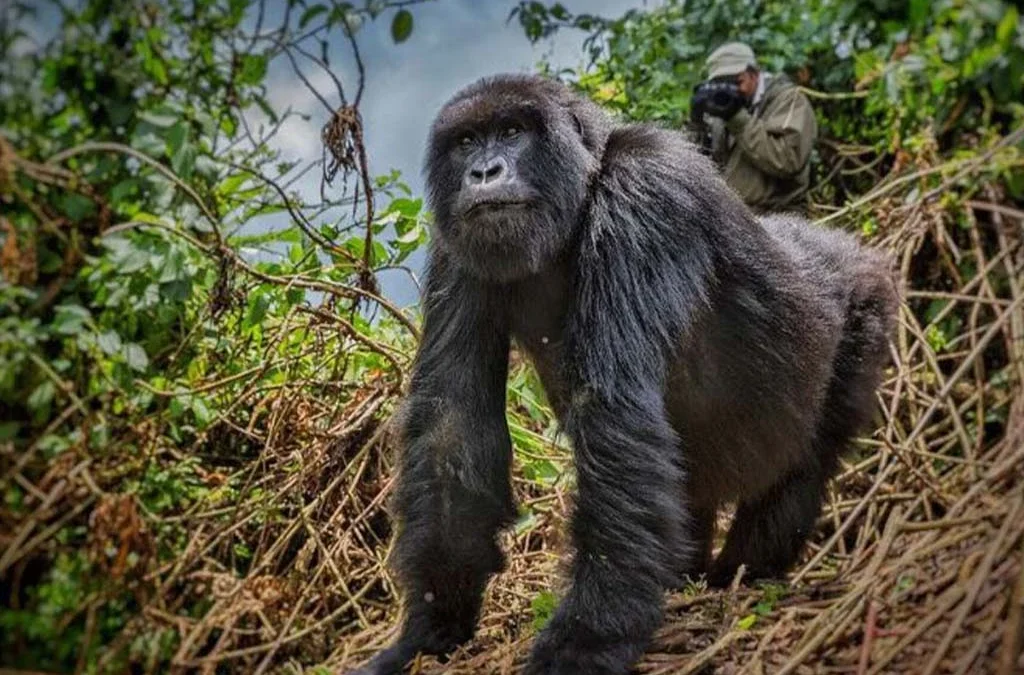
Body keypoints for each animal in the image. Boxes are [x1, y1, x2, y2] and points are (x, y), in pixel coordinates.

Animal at [352, 74, 898, 675]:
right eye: (467, 142)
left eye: (513, 132)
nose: (484, 172)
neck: (582, 188)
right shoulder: (457, 240)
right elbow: (451, 420)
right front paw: (432, 621)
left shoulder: (647, 190)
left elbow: (612, 409)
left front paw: (587, 640)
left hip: (865, 306)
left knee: (804, 464)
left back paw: (744, 572)